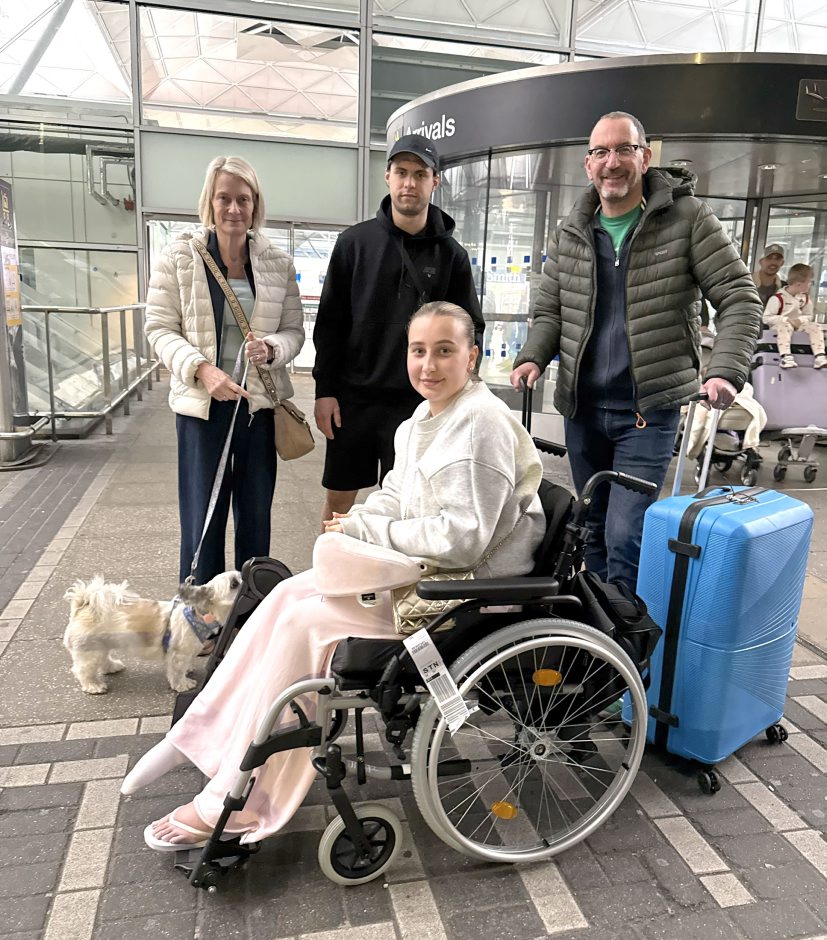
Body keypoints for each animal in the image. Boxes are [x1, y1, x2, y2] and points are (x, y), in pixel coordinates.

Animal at [63, 571, 241, 694]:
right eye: (233, 584)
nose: (243, 579)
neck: (197, 615)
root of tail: (83, 605)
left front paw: (188, 670)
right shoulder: (178, 655)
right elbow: (177, 673)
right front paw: (183, 684)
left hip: (102, 644)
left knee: (104, 659)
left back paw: (112, 667)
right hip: (90, 651)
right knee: (83, 670)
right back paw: (93, 685)